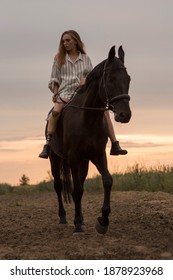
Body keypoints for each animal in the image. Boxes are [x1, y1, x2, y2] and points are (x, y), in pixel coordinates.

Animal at [48, 46, 130, 234]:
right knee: (58, 185)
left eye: (128, 79)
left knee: (81, 183)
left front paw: (103, 221)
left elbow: (107, 181)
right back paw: (63, 217)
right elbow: (76, 189)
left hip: (83, 161)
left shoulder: (97, 155)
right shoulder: (72, 157)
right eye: (111, 79)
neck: (88, 118)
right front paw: (77, 224)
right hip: (55, 159)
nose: (125, 115)